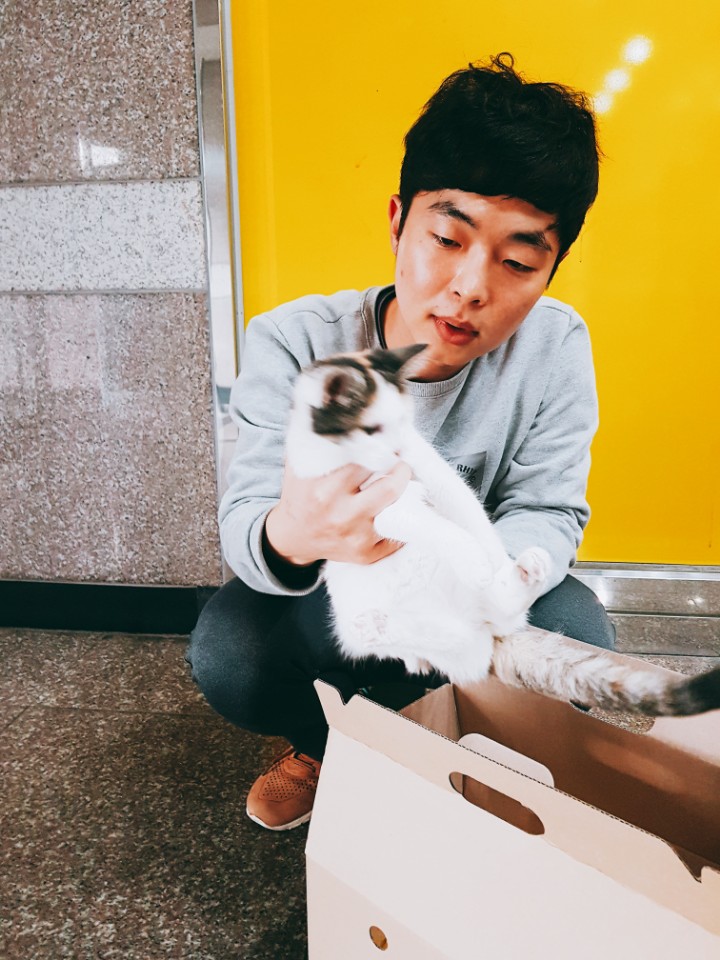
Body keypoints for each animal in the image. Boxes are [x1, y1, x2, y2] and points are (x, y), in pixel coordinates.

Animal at [285, 344, 720, 717]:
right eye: (372, 429)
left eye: (403, 423)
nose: (398, 452)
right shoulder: (371, 506)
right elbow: (430, 524)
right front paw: (471, 555)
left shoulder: (431, 468)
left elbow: (462, 504)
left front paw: (487, 553)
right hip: (369, 622)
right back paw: (412, 639)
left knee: (493, 619)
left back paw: (520, 574)